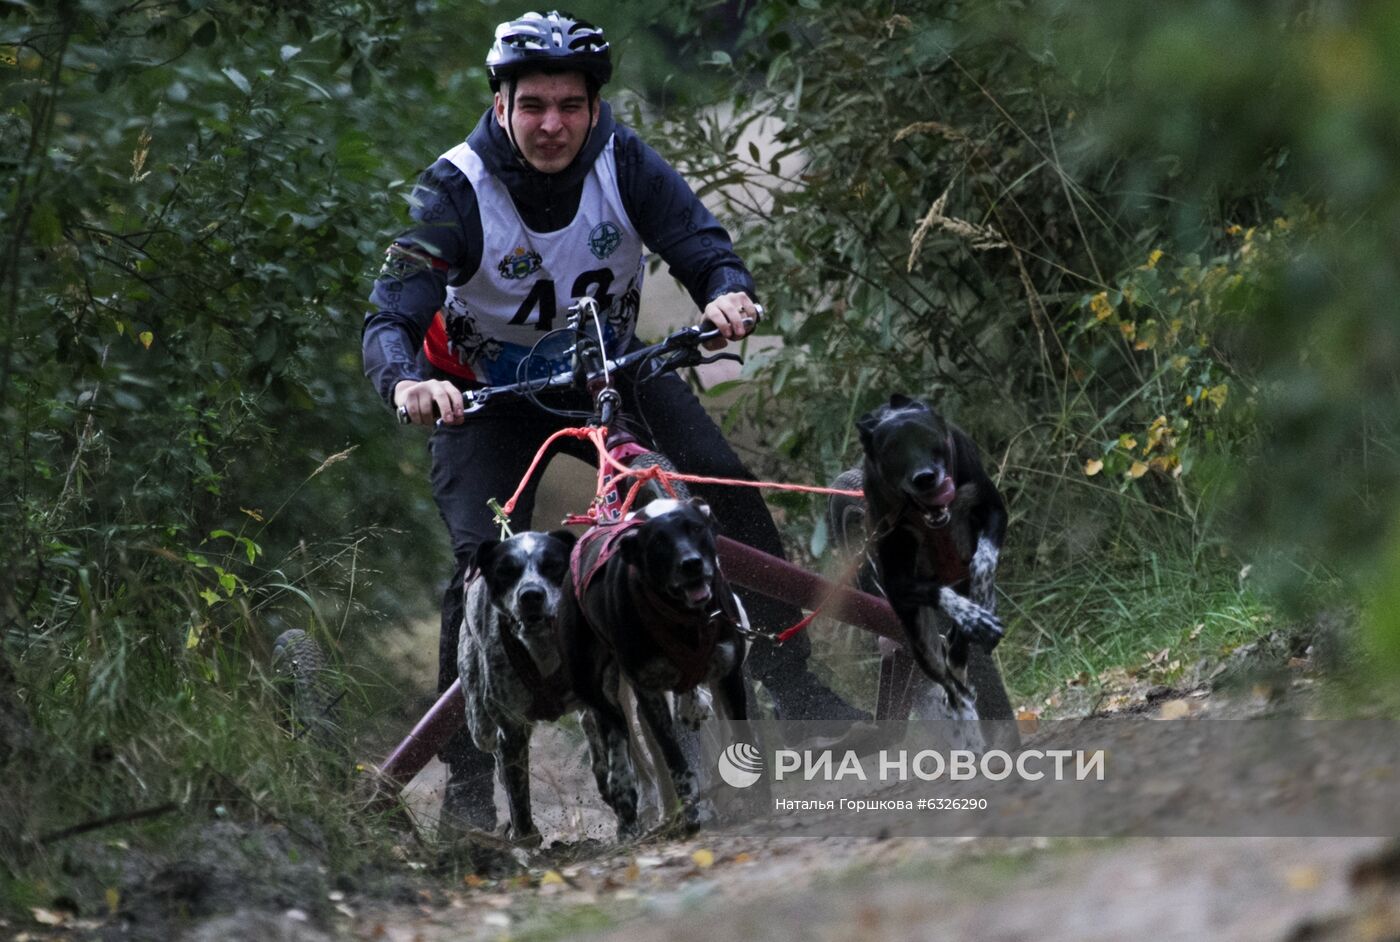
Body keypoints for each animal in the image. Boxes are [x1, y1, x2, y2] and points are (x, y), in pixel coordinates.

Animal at [459, 529, 579, 845]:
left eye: (552, 565)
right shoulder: (510, 728)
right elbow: (518, 793)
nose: (531, 595)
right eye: (506, 571)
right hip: (480, 725)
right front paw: (525, 833)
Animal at [560, 498, 750, 839]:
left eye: (696, 528)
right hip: (605, 694)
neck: (686, 620)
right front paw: (688, 812)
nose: (691, 563)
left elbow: (740, 737)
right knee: (620, 749)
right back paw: (631, 812)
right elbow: (674, 761)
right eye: (658, 543)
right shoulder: (648, 694)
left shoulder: (729, 675)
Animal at [828, 391, 1019, 733]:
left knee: (956, 654)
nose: (925, 479)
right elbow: (932, 591)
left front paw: (983, 599)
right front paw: (972, 615)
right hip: (918, 639)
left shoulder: (992, 510)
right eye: (892, 450)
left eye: (930, 439)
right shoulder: (897, 580)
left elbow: (983, 561)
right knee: (948, 681)